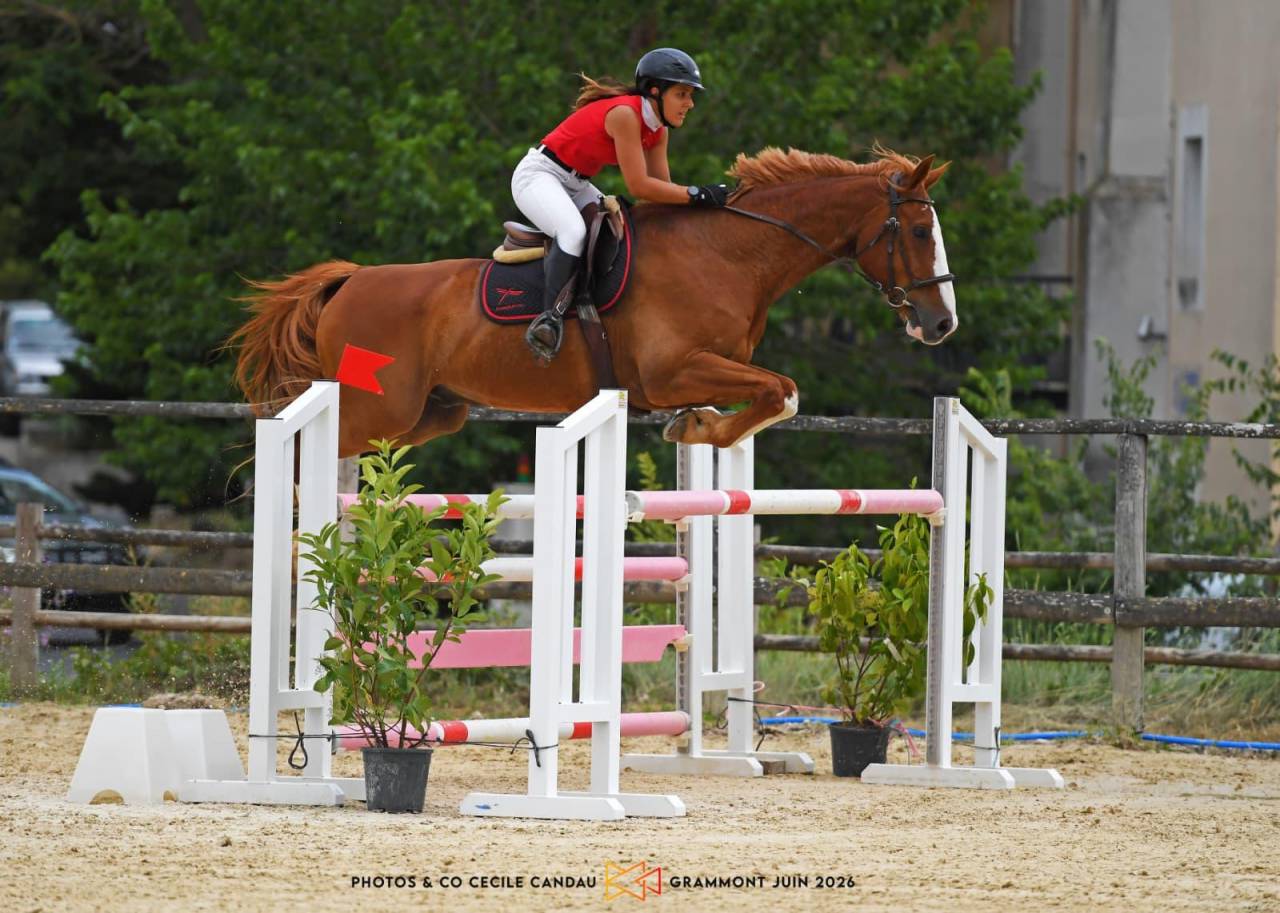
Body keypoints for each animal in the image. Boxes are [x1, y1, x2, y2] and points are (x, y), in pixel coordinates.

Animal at [231, 147, 956, 457]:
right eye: (921, 232)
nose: (942, 324)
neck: (728, 254)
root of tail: (350, 282)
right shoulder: (671, 372)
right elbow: (783, 389)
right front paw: (699, 430)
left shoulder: (701, 372)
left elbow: (773, 394)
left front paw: (697, 427)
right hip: (374, 409)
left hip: (430, 413)